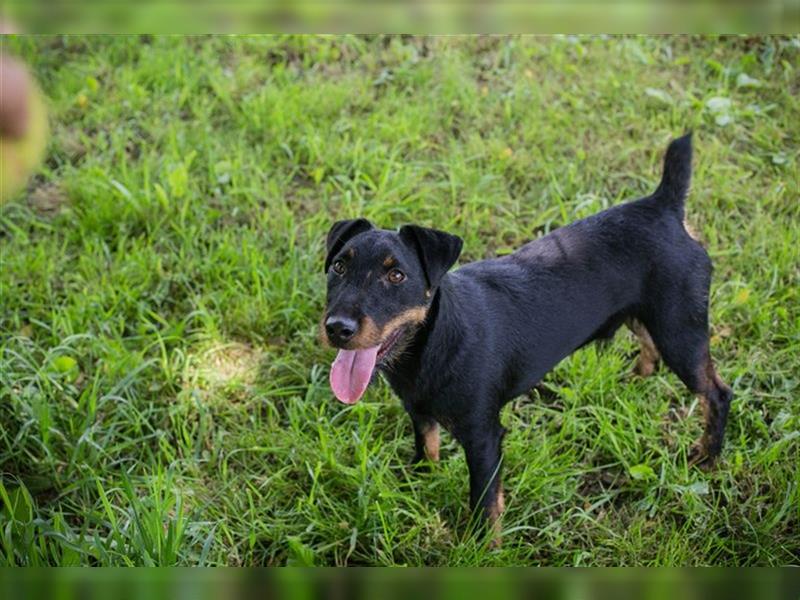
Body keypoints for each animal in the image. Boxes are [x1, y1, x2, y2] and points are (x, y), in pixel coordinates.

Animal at [318, 135, 732, 544]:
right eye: (338, 266)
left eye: (397, 276)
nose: (337, 328)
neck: (428, 348)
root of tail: (664, 205)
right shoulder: (419, 413)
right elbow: (427, 449)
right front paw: (417, 486)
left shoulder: (484, 437)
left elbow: (485, 502)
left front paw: (483, 548)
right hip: (649, 315)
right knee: (651, 346)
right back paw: (637, 377)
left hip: (680, 330)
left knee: (717, 393)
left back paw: (707, 457)